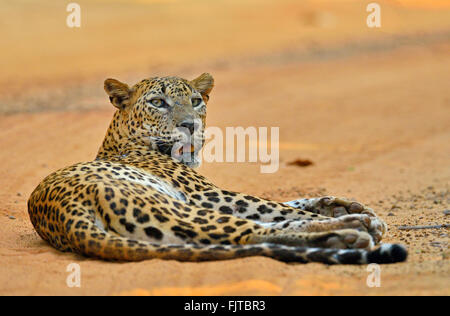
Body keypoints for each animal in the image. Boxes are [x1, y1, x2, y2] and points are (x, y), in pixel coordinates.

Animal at [28, 74, 408, 264]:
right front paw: (359, 215)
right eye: (158, 102)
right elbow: (272, 205)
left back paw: (345, 228)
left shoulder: (211, 193)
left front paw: (342, 204)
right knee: (251, 232)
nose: (190, 124)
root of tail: (65, 219)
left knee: (254, 231)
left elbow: (287, 202)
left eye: (196, 100)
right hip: (176, 208)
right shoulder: (208, 194)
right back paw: (352, 231)